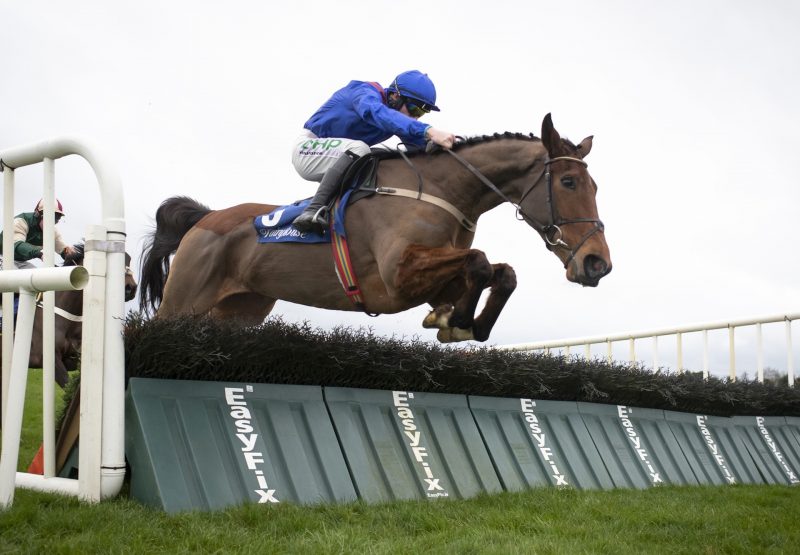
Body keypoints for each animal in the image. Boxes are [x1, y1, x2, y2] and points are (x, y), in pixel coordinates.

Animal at [139, 114, 612, 344]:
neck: (439, 189)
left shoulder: (433, 276)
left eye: (595, 185)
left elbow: (502, 273)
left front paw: (461, 321)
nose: (598, 265)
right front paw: (457, 320)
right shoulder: (396, 278)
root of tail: (205, 218)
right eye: (569, 182)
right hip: (182, 303)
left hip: (239, 311)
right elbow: (479, 262)